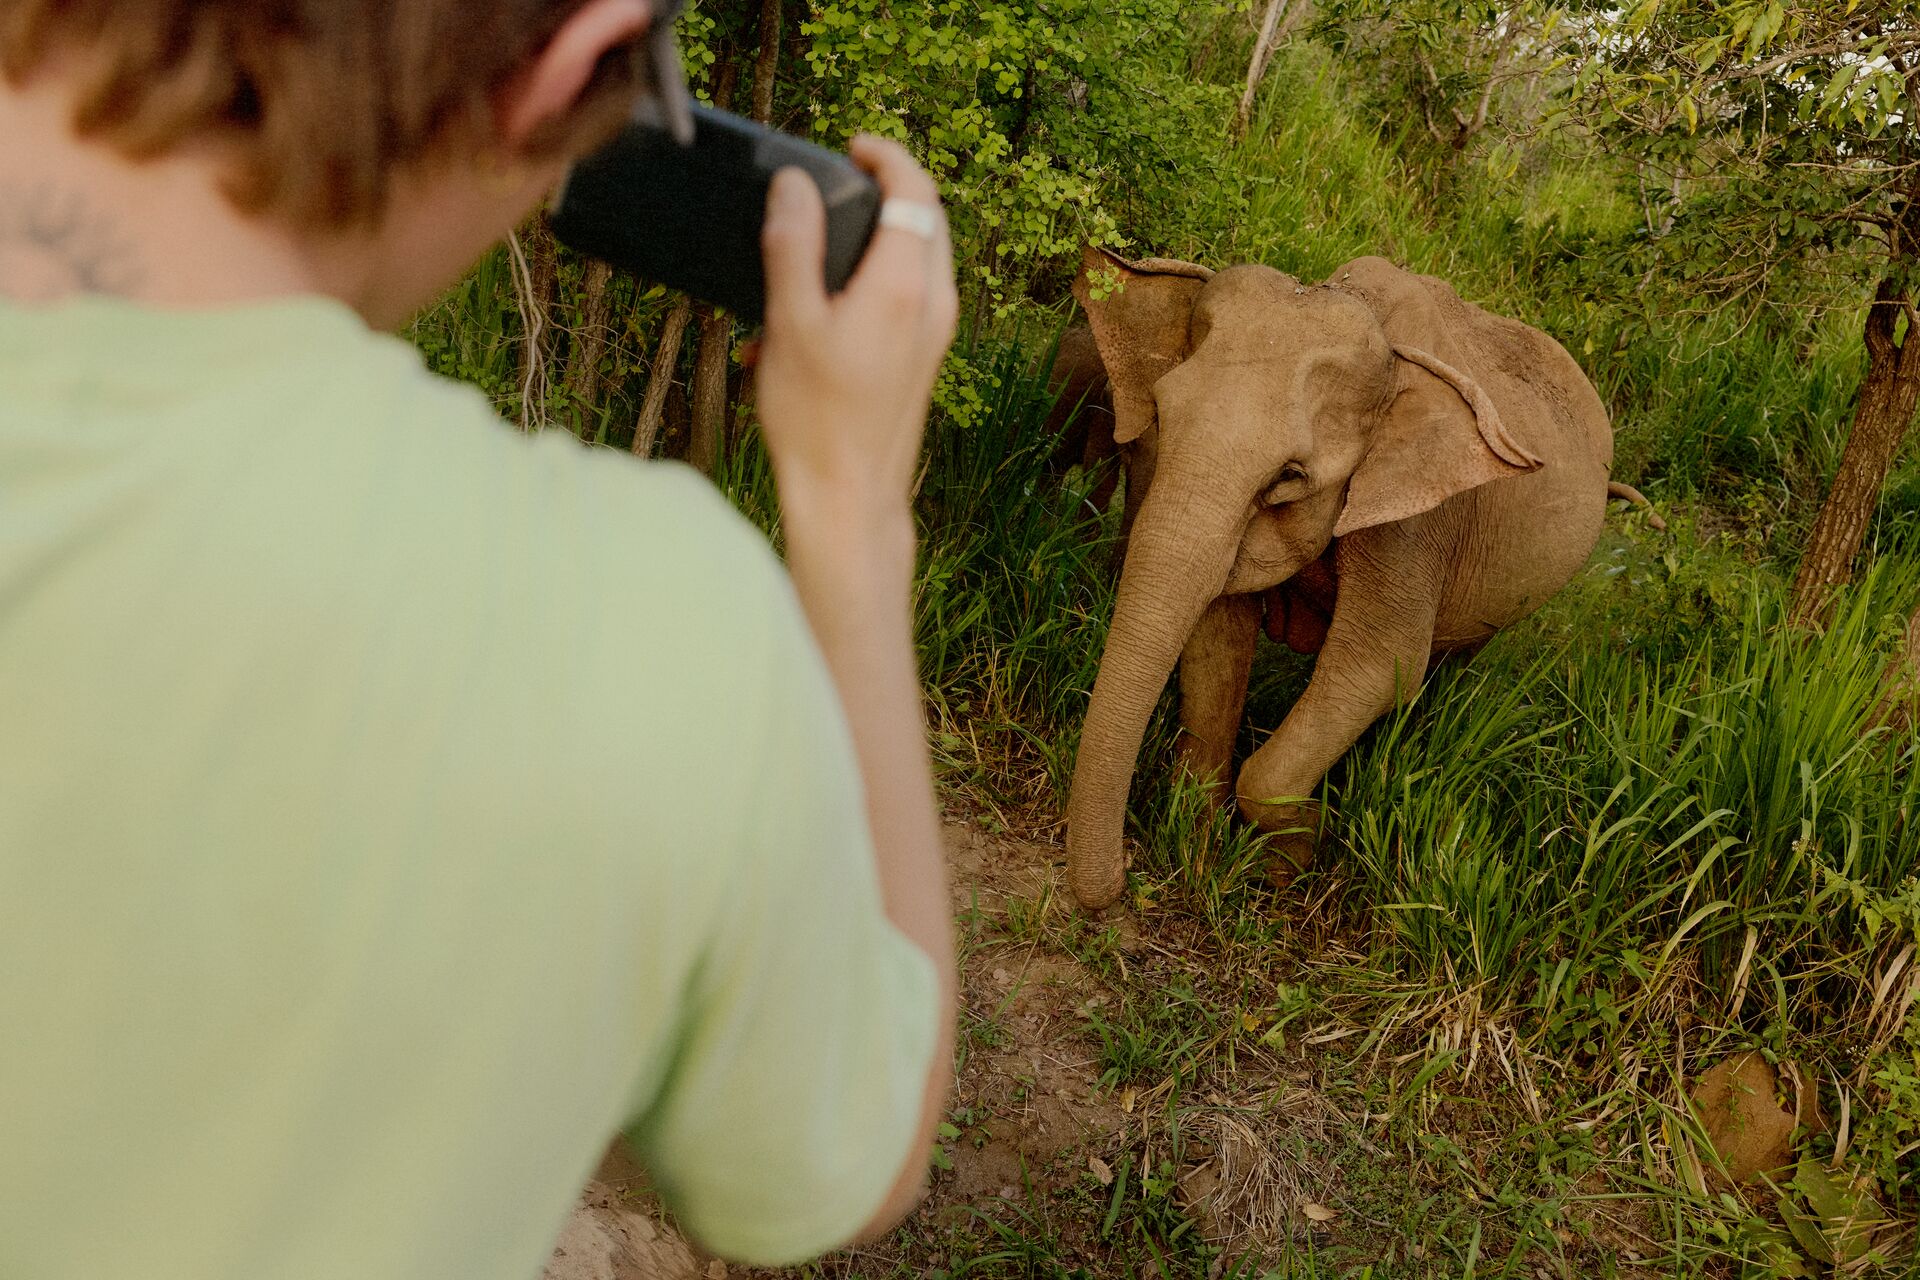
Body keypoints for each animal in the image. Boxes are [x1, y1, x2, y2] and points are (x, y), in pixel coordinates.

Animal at [1063, 245, 1657, 911]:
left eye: (1290, 476)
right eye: (1161, 416)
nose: (1121, 878)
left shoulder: (1415, 519)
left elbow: (1379, 666)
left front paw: (1292, 859)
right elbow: (1218, 636)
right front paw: (1200, 843)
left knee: (1452, 661)